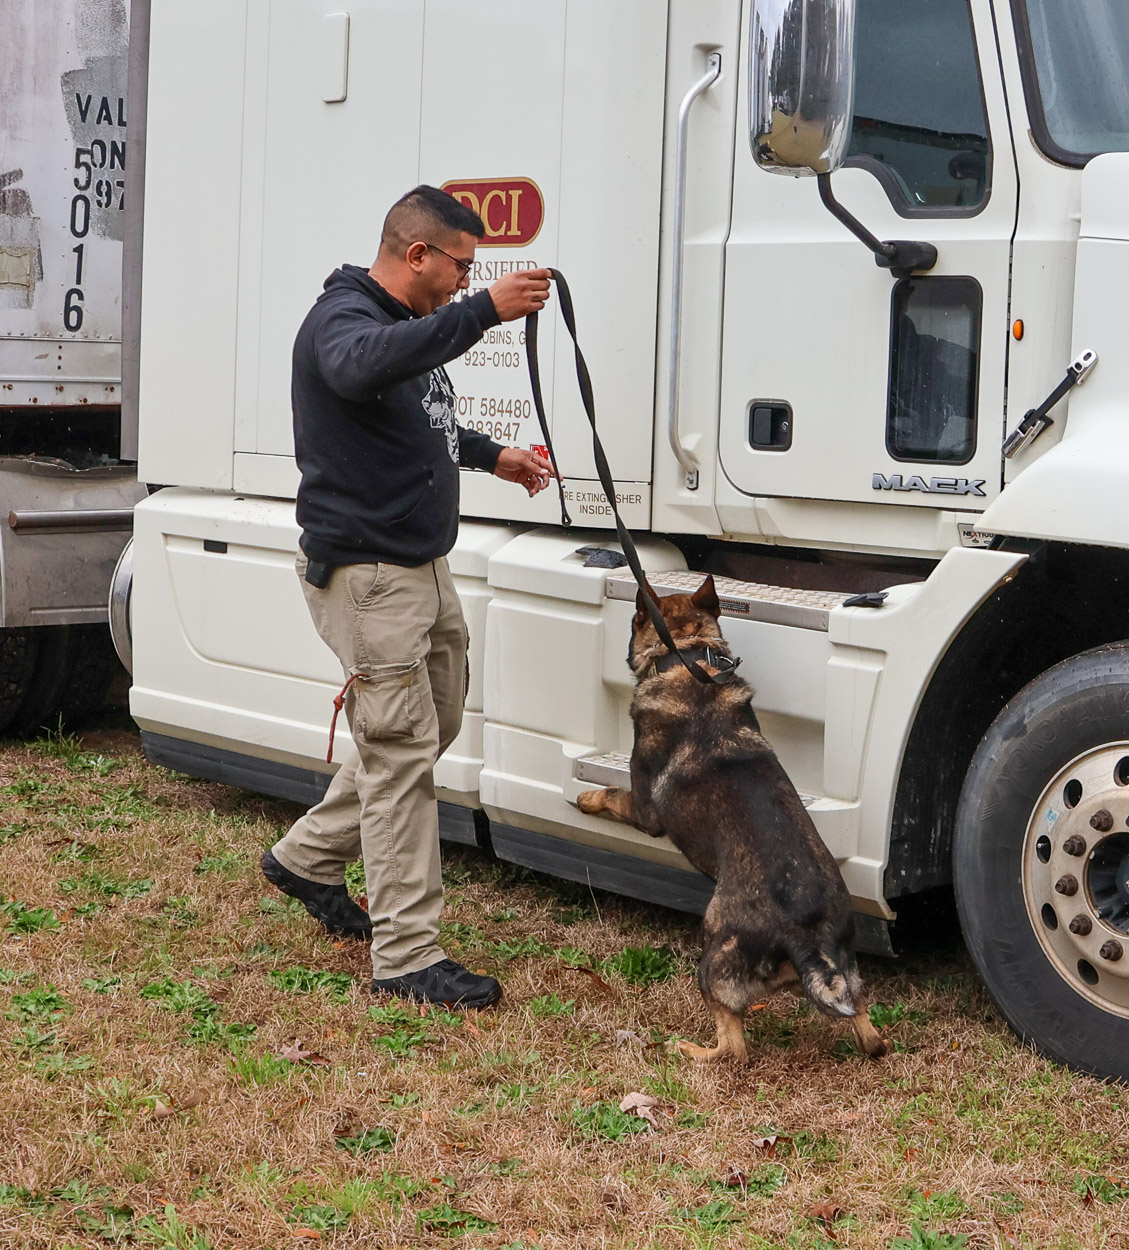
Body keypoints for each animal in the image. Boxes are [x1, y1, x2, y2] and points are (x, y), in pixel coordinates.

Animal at [577, 575, 887, 1063]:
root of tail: (805, 936)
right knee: (869, 1034)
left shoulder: (644, 808)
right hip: (848, 979)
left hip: (712, 959)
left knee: (733, 1048)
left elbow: (611, 793)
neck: (688, 659)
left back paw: (689, 1049)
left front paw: (586, 798)